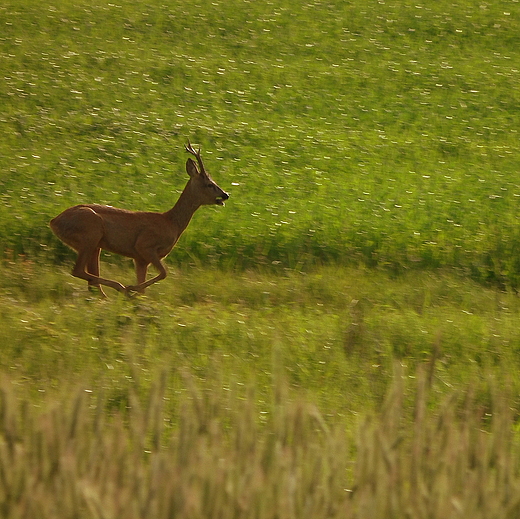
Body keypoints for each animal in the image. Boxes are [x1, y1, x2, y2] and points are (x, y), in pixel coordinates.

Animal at [50, 141, 230, 296]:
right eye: (209, 184)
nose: (225, 194)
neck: (171, 223)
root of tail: (54, 222)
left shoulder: (140, 259)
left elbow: (146, 286)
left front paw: (137, 297)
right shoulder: (145, 245)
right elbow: (164, 273)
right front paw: (132, 289)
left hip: (95, 244)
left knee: (90, 280)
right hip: (90, 232)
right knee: (78, 270)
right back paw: (121, 287)